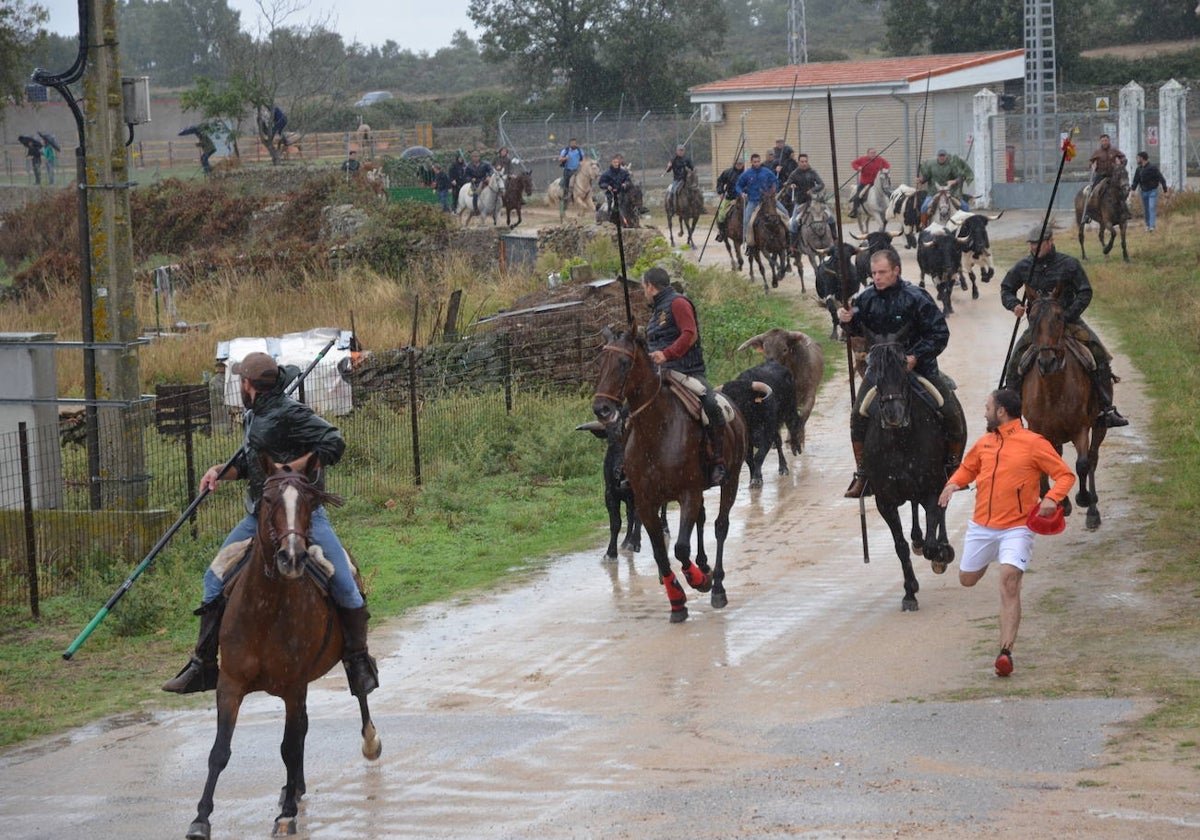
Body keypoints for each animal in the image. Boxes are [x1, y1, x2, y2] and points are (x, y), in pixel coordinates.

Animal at [187, 453, 379, 840]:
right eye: (269, 499)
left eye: (307, 501)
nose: (292, 558)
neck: (266, 609)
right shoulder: (230, 684)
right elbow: (220, 751)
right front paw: (201, 819)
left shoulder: (293, 685)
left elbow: (288, 747)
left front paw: (287, 815)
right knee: (302, 728)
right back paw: (295, 786)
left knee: (359, 691)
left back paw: (368, 742)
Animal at [588, 328, 744, 624]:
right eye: (599, 362)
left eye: (624, 363)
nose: (601, 408)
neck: (657, 432)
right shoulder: (647, 501)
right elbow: (660, 552)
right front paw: (677, 600)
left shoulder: (687, 493)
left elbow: (680, 548)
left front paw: (698, 581)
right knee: (701, 521)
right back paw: (703, 566)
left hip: (730, 480)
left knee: (720, 526)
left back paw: (716, 585)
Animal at [1012, 295, 1104, 528]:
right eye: (1031, 317)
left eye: (1060, 316)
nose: (1047, 361)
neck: (1054, 389)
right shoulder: (1039, 430)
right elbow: (1047, 467)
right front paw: (1061, 502)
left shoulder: (1080, 428)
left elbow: (1082, 464)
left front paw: (1082, 498)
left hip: (1100, 425)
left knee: (1093, 459)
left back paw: (1092, 510)